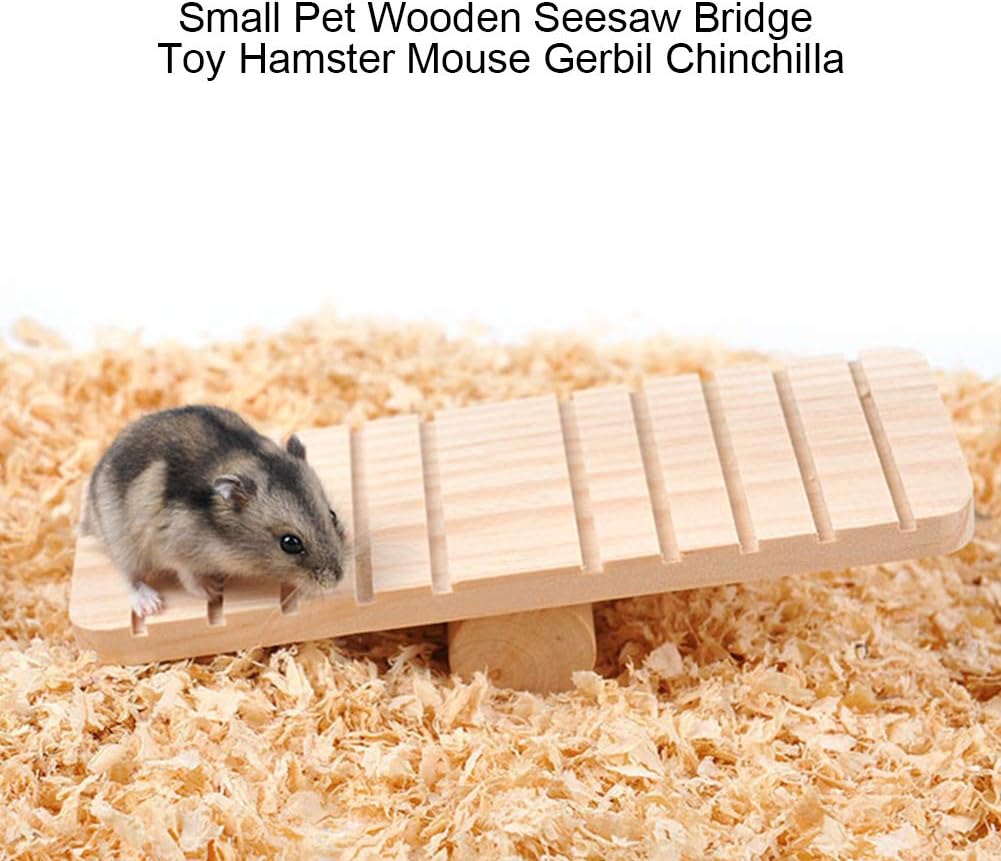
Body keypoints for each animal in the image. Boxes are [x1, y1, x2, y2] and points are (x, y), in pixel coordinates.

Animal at [80, 405, 346, 617]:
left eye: (333, 516)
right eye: (290, 543)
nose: (337, 579)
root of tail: (90, 516)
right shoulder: (173, 547)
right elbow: (187, 575)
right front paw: (214, 591)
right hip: (122, 541)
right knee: (128, 575)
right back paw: (151, 605)